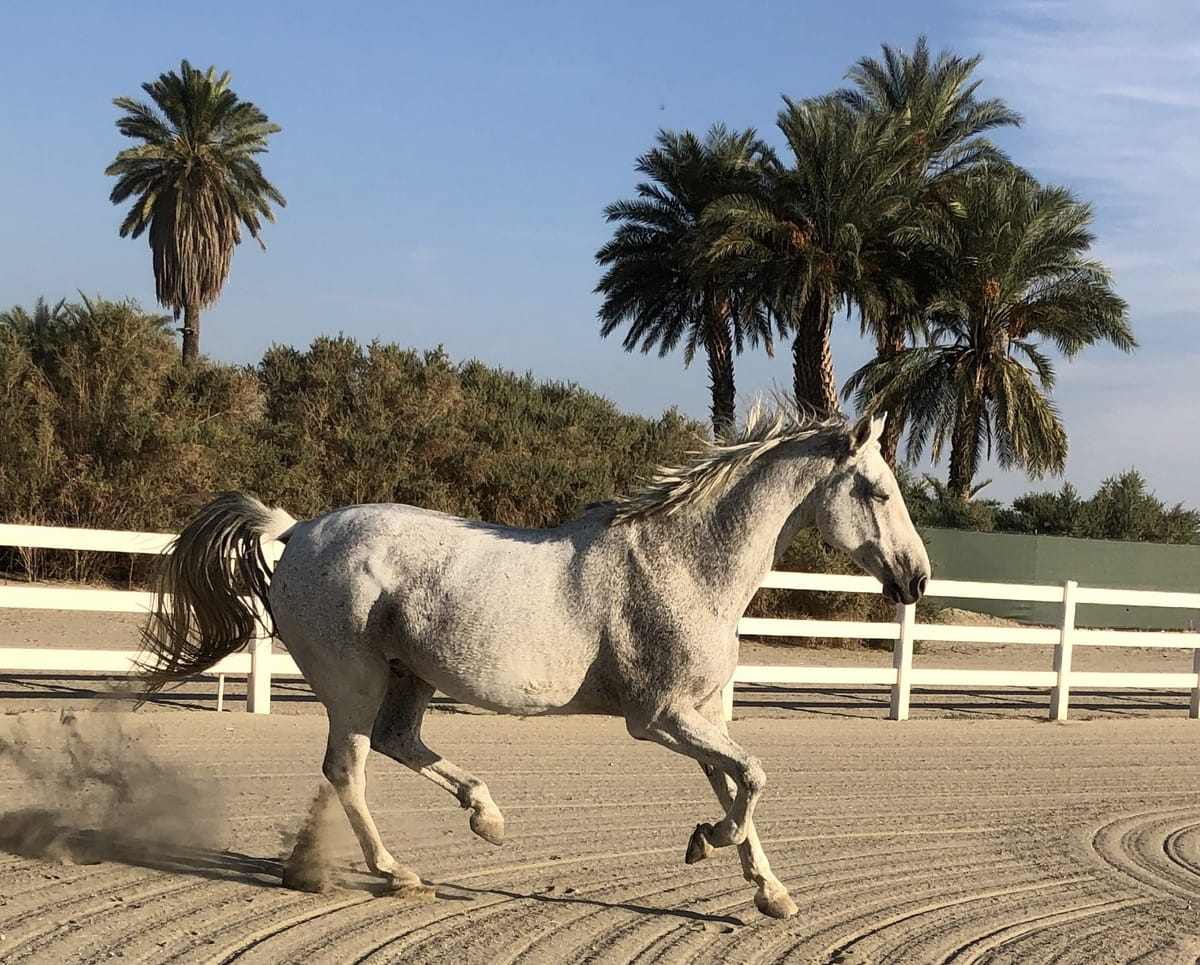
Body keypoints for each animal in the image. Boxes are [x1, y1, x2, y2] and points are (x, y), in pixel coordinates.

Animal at [137, 404, 930, 919]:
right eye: (877, 489)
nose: (916, 579)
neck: (683, 563)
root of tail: (296, 529)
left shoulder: (700, 716)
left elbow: (738, 783)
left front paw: (770, 892)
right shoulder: (660, 718)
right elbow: (754, 779)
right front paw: (707, 844)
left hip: (410, 677)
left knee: (399, 743)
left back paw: (479, 818)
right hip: (353, 683)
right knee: (349, 769)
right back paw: (398, 874)